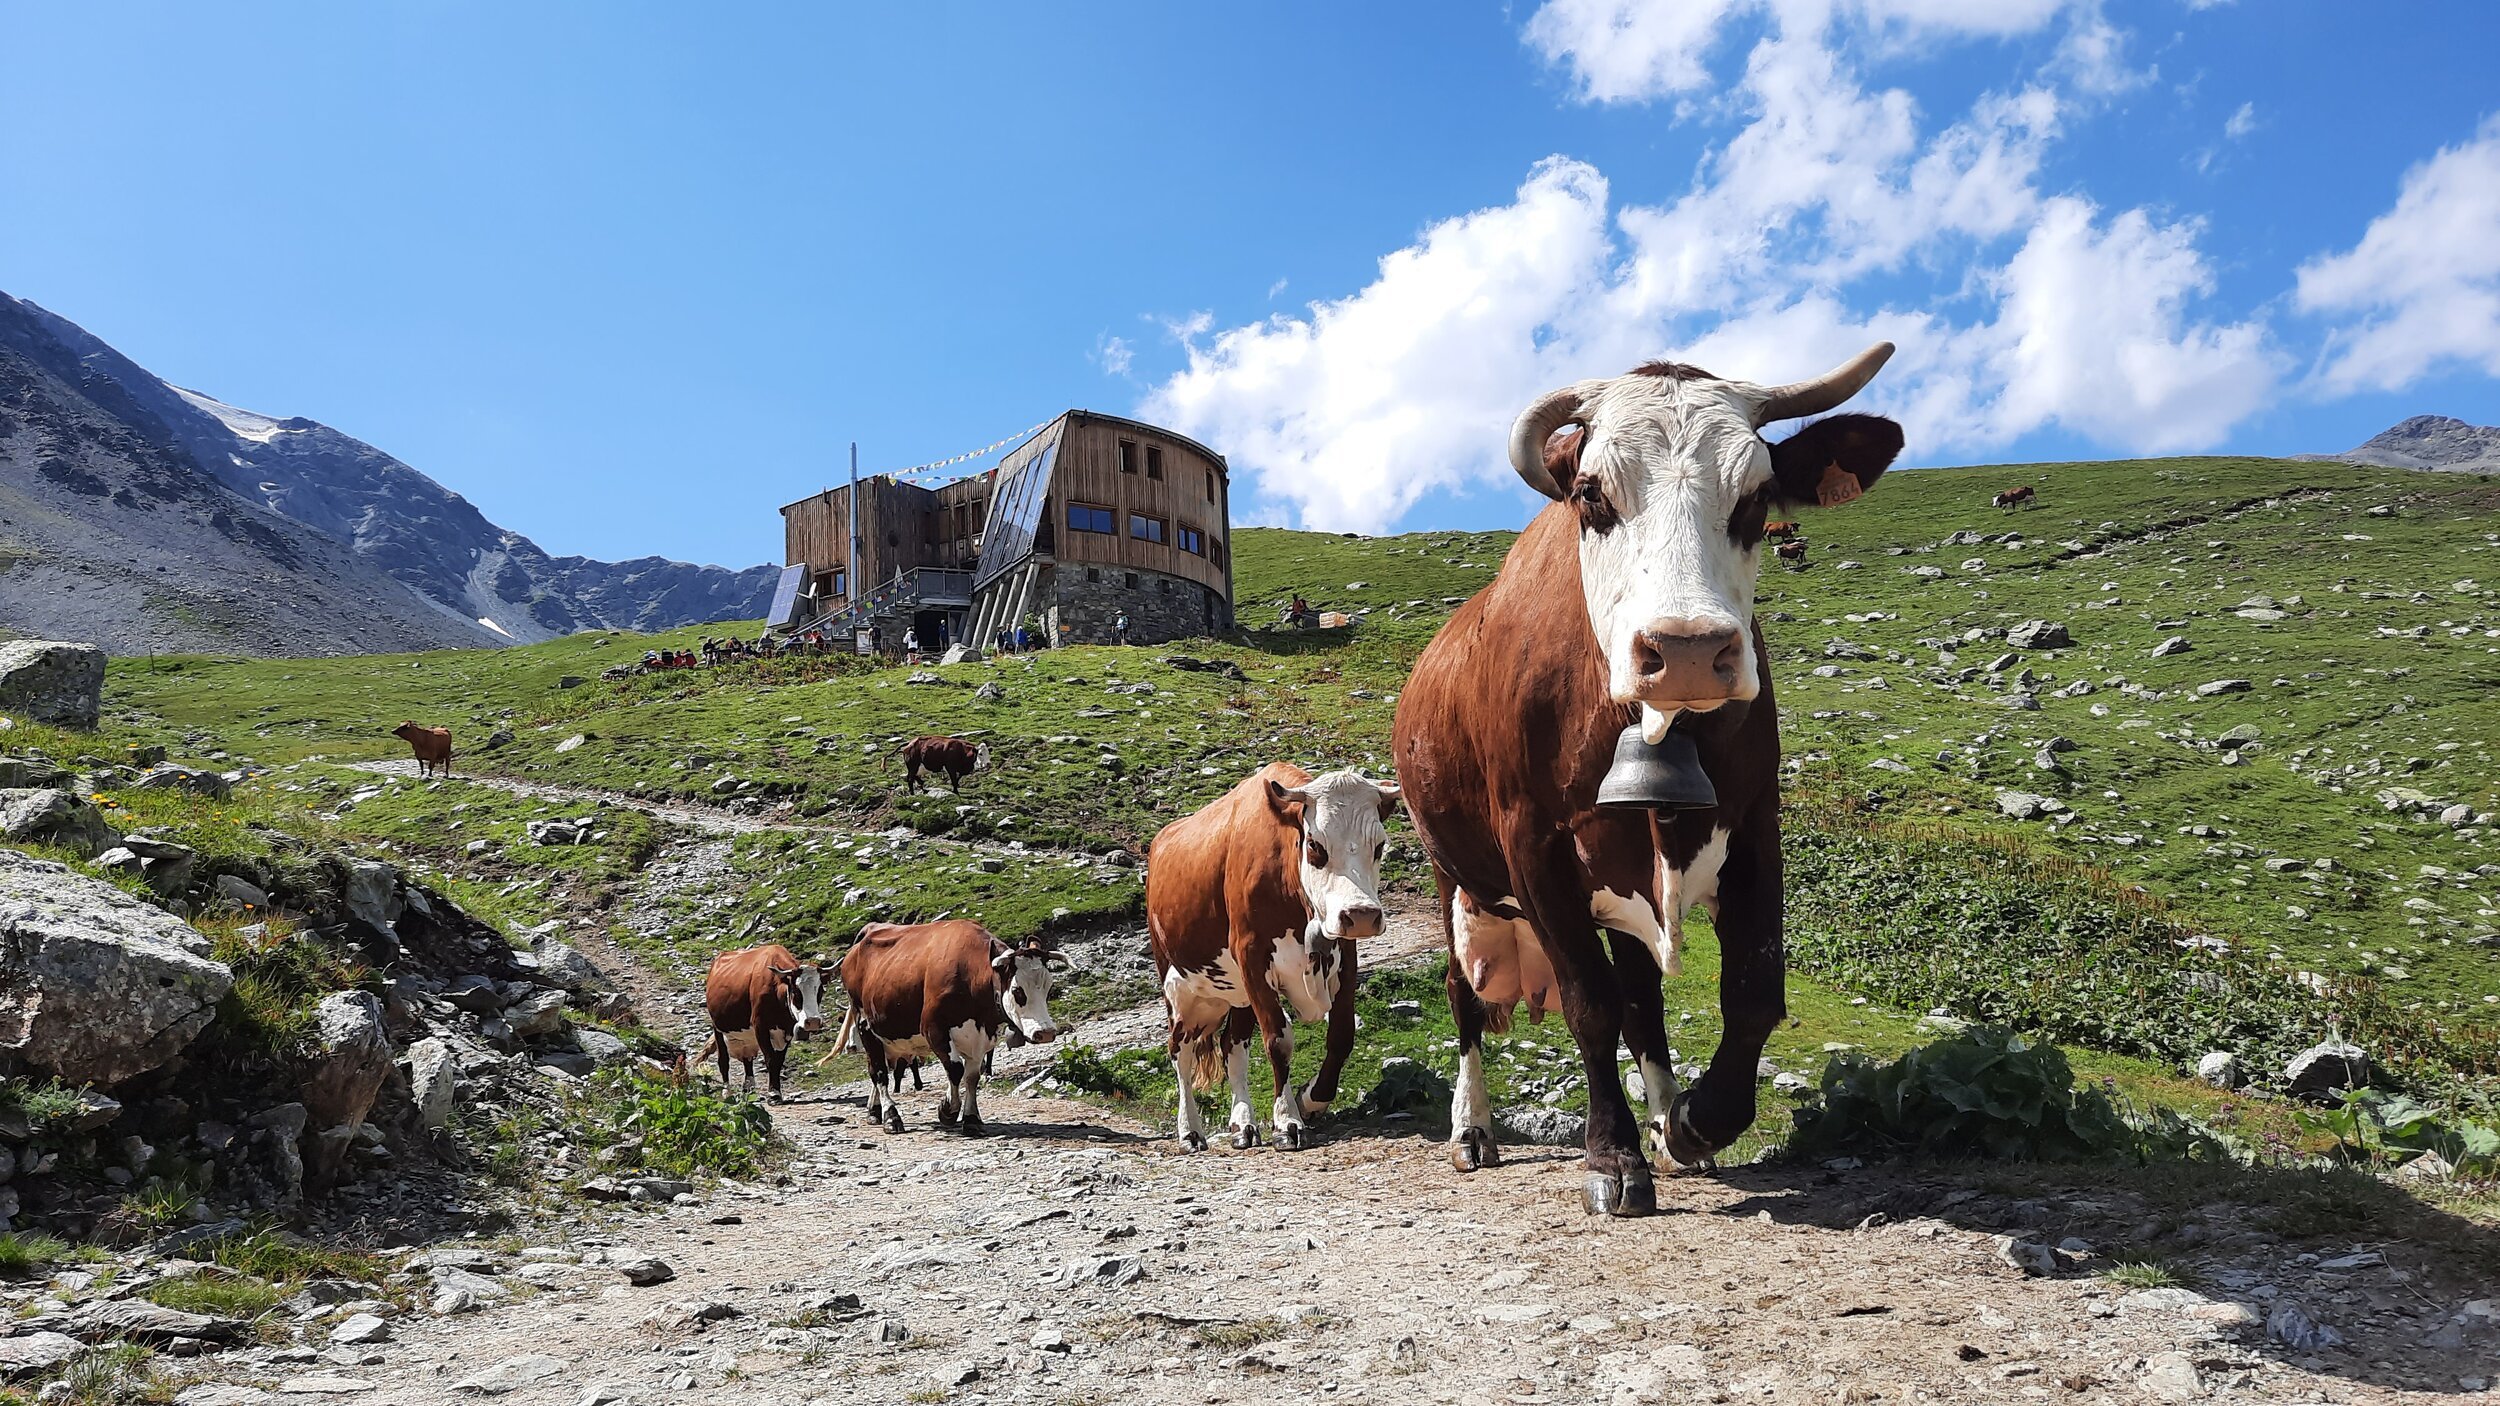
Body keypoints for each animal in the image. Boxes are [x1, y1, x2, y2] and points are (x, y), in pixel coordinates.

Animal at [695, 945, 830, 1100]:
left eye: (820, 991)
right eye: (796, 992)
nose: (813, 1021)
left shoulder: (787, 1030)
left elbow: (779, 1060)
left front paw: (776, 1090)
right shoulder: (760, 1027)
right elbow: (770, 1059)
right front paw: (773, 1093)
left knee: (747, 1058)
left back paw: (749, 1087)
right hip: (717, 1027)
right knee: (723, 1059)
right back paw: (727, 1091)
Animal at [835, 915, 1060, 1130]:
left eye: (1048, 987)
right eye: (1017, 990)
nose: (1046, 1032)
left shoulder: (982, 1037)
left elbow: (972, 1076)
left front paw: (972, 1119)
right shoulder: (933, 1029)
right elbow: (955, 1069)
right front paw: (947, 1110)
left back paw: (874, 1111)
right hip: (865, 1024)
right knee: (879, 1072)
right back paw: (891, 1116)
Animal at [1150, 760, 1410, 1145]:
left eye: (1379, 845)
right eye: (1315, 845)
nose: (1362, 914)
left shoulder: (1344, 955)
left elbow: (1342, 1035)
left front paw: (1309, 1100)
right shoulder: (1252, 958)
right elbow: (1278, 1040)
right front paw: (1287, 1120)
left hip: (1238, 992)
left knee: (1233, 1045)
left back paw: (1243, 1122)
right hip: (1177, 987)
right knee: (1179, 1052)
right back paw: (1190, 1131)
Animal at [1400, 342, 1900, 1215]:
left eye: (1758, 495)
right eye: (1592, 493)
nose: (1689, 648)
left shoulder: (1754, 823)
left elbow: (1751, 990)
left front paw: (1696, 1123)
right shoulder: (1533, 846)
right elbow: (1590, 1005)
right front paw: (1613, 1157)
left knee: (1643, 997)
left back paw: (1667, 1119)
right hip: (1452, 874)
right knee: (1466, 996)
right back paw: (1473, 1129)